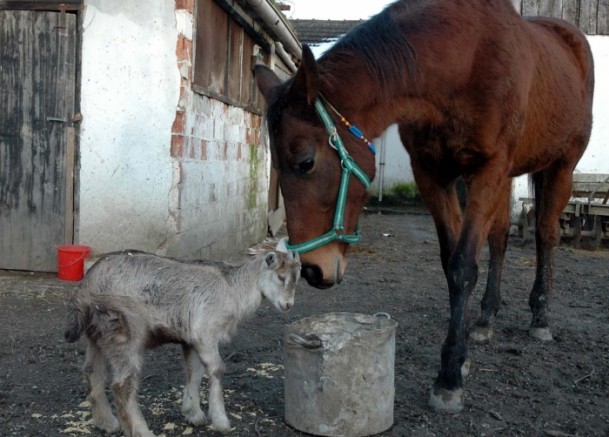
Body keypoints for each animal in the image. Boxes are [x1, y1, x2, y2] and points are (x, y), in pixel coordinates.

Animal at [254, 0, 592, 412]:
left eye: (305, 162)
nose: (314, 271)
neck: (465, 60)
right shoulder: (433, 175)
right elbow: (453, 263)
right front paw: (462, 353)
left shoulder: (488, 170)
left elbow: (464, 266)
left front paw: (449, 376)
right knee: (499, 239)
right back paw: (485, 318)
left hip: (561, 166)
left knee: (545, 235)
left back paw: (540, 316)